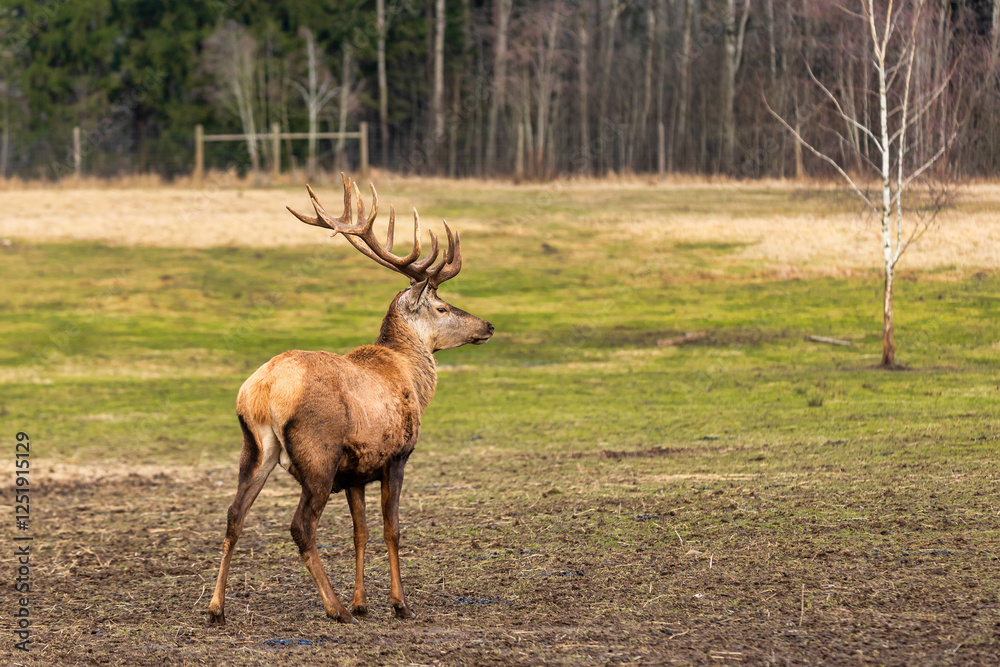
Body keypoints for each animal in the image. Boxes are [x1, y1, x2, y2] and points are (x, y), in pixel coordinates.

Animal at [207, 174, 494, 625]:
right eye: (443, 307)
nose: (488, 325)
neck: (411, 377)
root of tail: (263, 391)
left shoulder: (357, 470)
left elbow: (360, 532)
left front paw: (363, 601)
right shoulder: (396, 455)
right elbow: (392, 529)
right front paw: (397, 603)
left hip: (253, 448)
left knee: (235, 515)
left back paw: (216, 608)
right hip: (318, 454)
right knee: (301, 526)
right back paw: (334, 607)